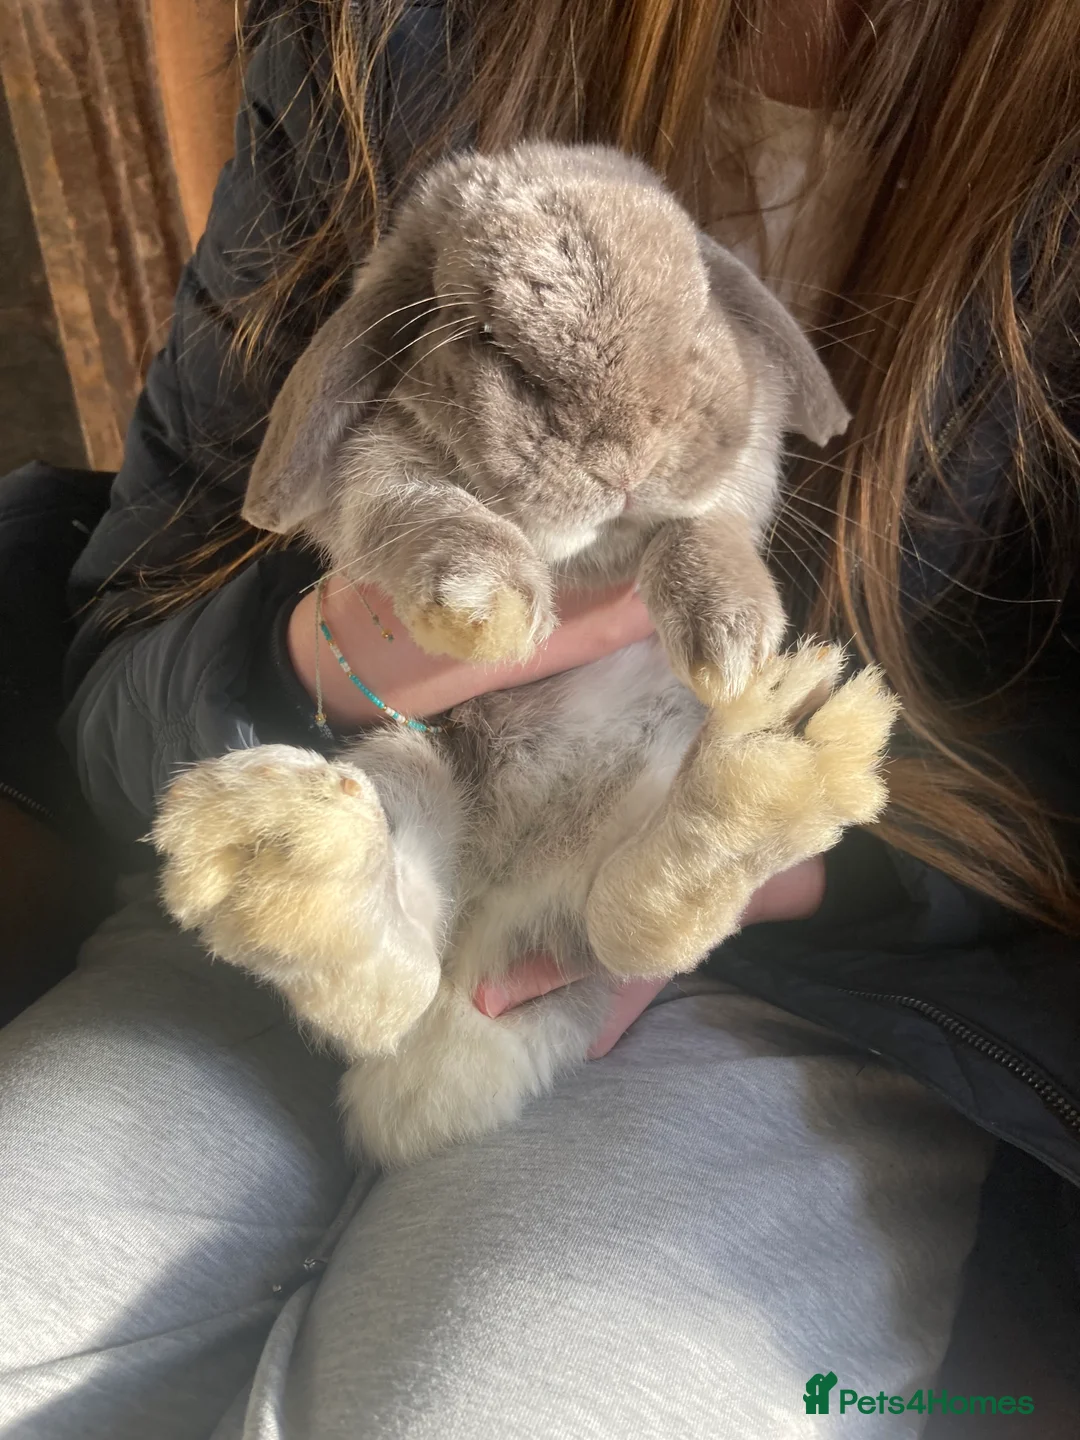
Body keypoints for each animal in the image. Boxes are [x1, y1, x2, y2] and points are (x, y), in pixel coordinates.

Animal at [153, 142, 898, 1167]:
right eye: (492, 345)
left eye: (700, 303)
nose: (627, 458)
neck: (591, 549)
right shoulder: (380, 481)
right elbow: (429, 511)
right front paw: (491, 606)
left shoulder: (731, 482)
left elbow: (699, 530)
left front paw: (732, 638)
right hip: (413, 763)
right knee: (401, 978)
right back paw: (276, 856)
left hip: (610, 845)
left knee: (628, 929)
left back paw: (776, 765)